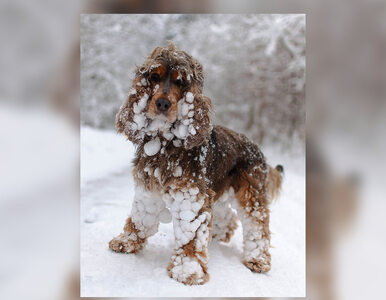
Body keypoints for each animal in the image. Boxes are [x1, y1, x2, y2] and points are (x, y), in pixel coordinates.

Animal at [108, 43, 284, 284]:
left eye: (180, 81)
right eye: (154, 77)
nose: (162, 103)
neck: (165, 142)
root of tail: (257, 148)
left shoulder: (191, 196)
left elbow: (190, 235)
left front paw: (187, 270)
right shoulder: (148, 189)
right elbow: (140, 217)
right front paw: (127, 241)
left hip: (250, 194)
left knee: (258, 225)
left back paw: (258, 260)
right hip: (217, 189)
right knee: (228, 216)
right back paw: (218, 235)